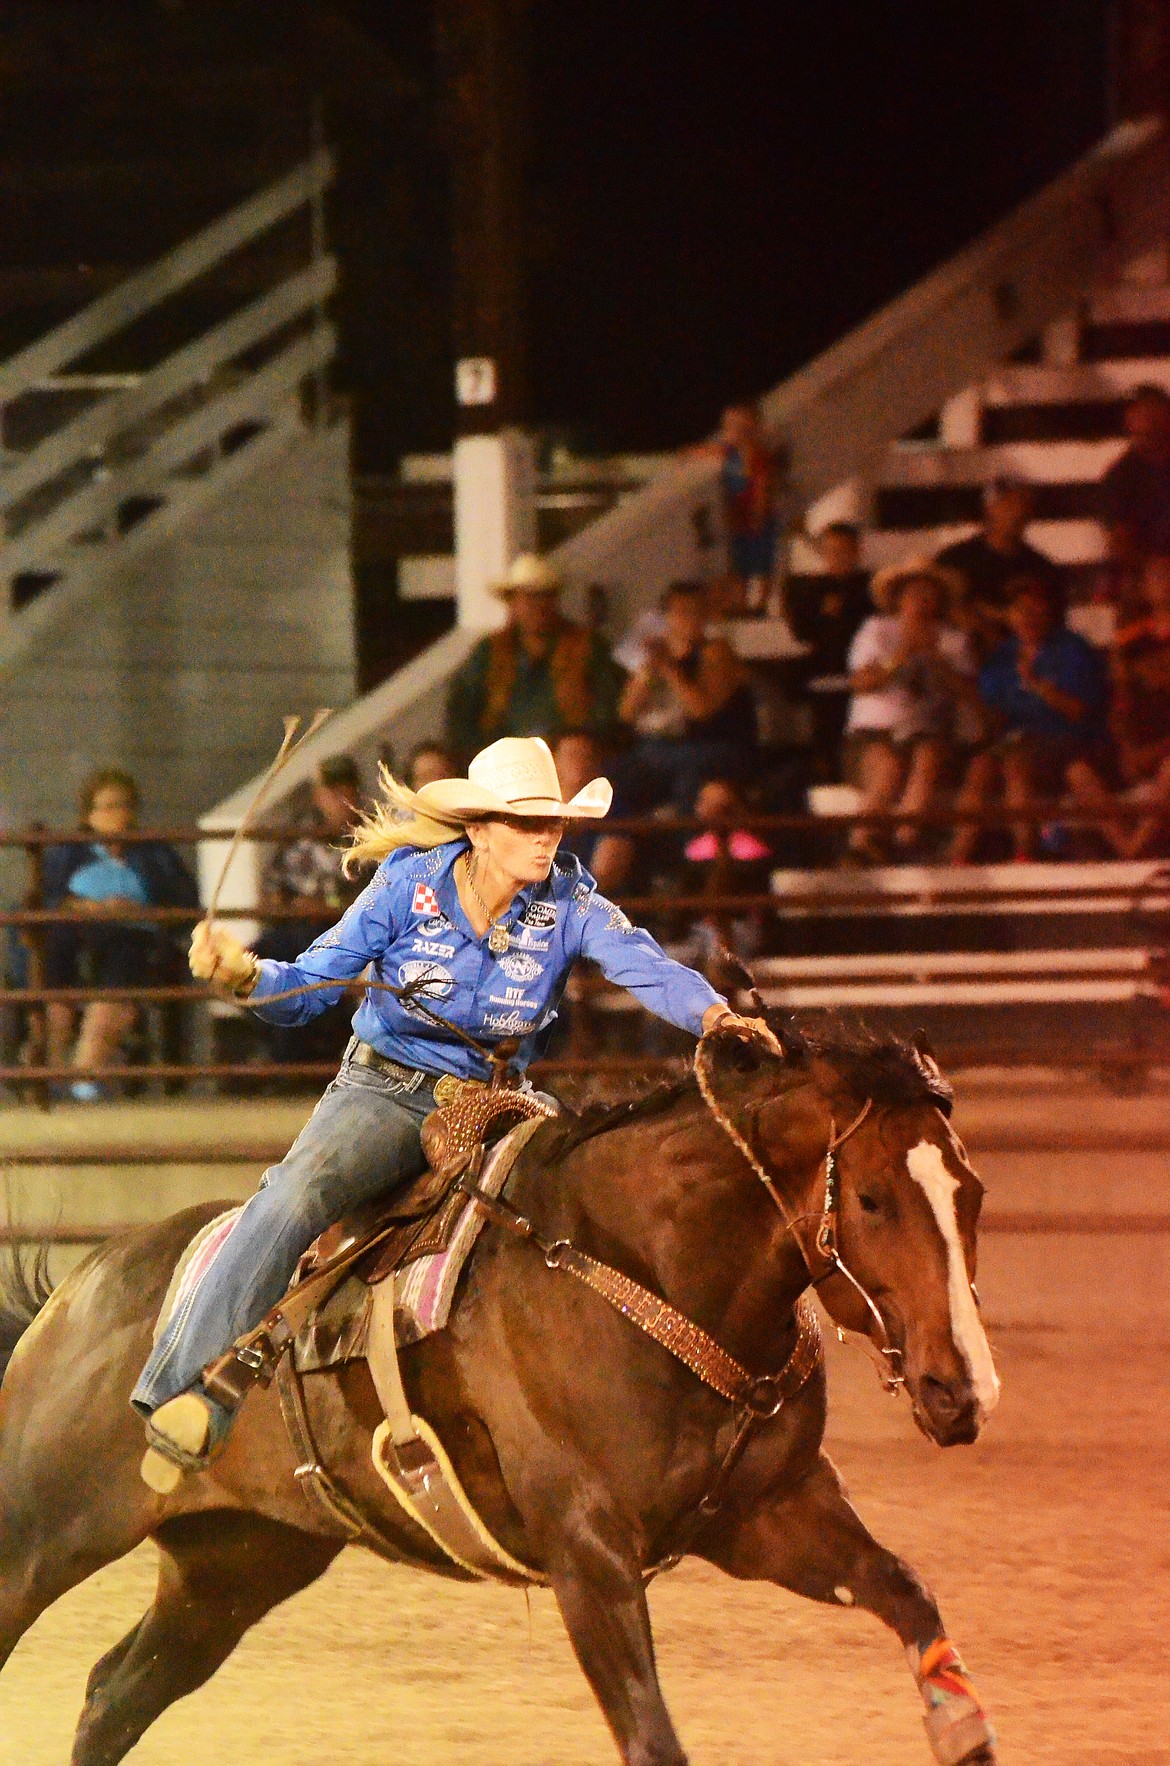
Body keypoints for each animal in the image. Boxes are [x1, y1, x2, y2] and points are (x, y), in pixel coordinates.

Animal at [0, 1031, 1002, 1758]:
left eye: (973, 1193)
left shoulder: (770, 1514)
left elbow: (909, 1594)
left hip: (235, 1566)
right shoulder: (588, 1556)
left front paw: (961, 1729)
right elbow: (652, 1738)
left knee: (114, 1696)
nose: (962, 1389)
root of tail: (75, 1296)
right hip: (38, 1540)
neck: (643, 1265)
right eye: (871, 1200)